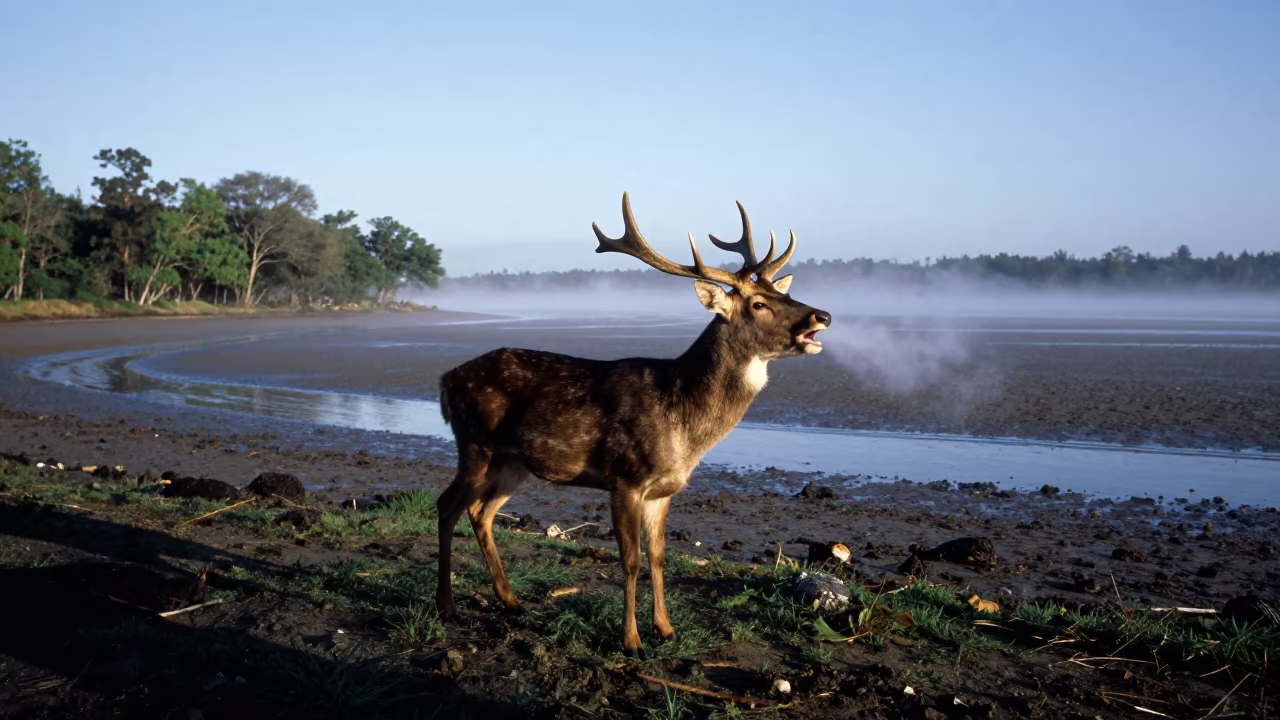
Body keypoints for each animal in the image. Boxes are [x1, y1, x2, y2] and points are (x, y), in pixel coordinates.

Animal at [435, 192, 831, 657]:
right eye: (758, 304)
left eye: (781, 292)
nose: (822, 315)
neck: (684, 426)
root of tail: (445, 380)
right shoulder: (625, 476)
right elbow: (631, 560)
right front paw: (632, 641)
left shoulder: (664, 490)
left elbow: (659, 556)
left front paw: (666, 629)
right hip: (474, 442)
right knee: (447, 506)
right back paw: (447, 607)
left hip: (514, 463)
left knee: (481, 513)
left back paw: (512, 602)